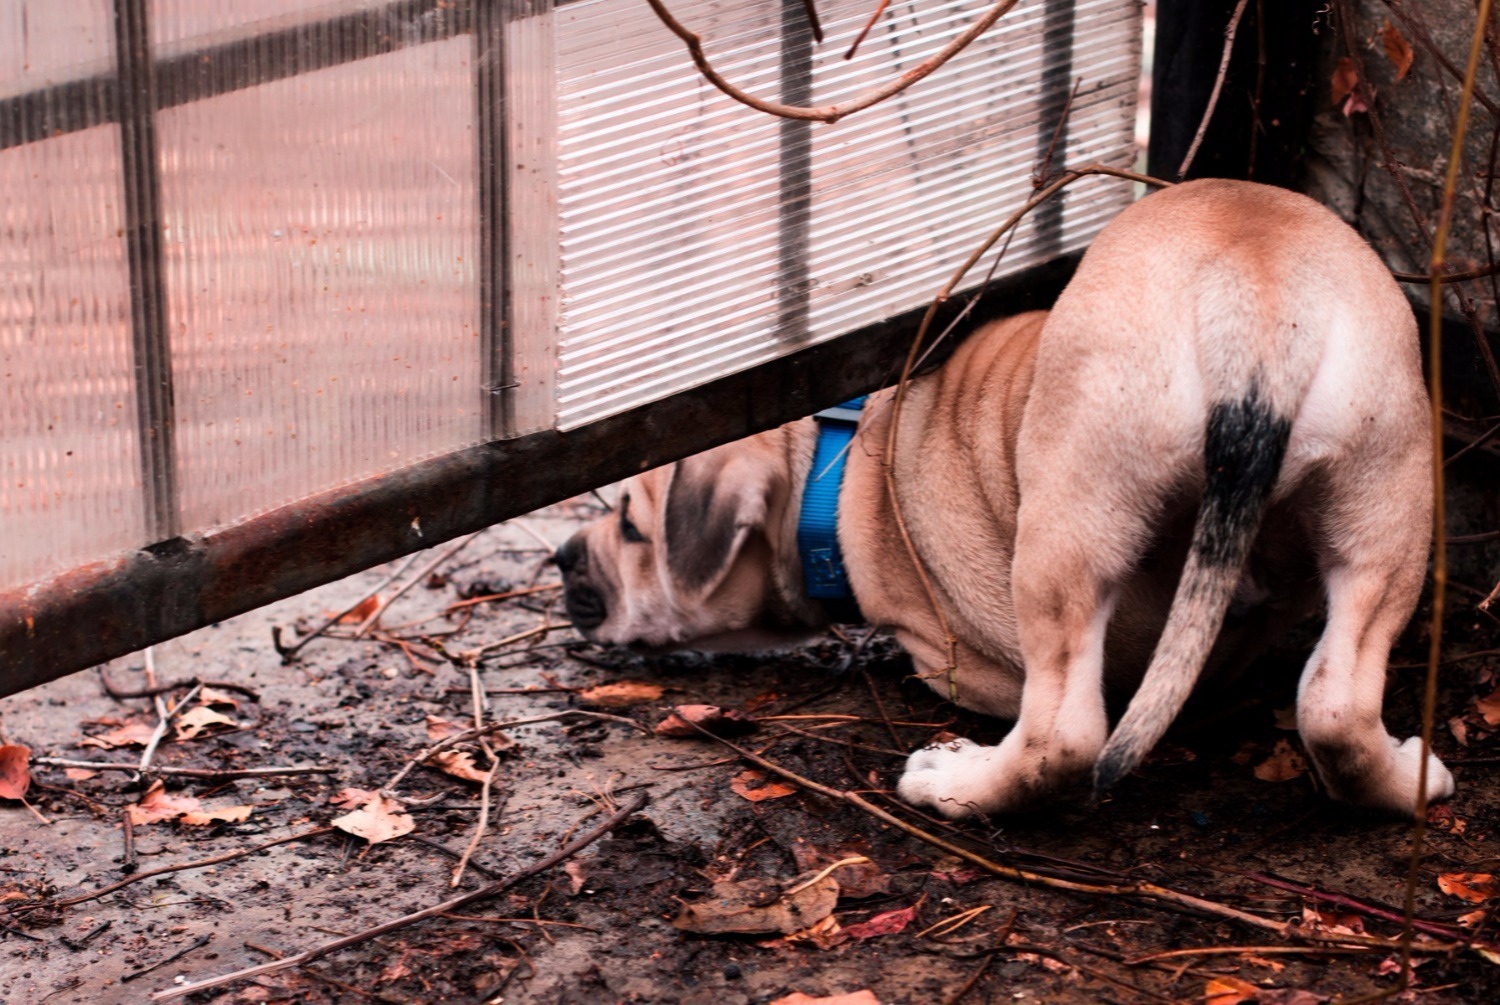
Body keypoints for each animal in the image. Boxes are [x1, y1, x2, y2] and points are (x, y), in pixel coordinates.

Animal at [555, 181, 1452, 822]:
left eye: (630, 526)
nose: (561, 556)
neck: (833, 464)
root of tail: (1257, 294)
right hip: (1388, 493)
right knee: (1336, 702)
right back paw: (1411, 775)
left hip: (1070, 523)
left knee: (1063, 733)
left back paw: (954, 784)